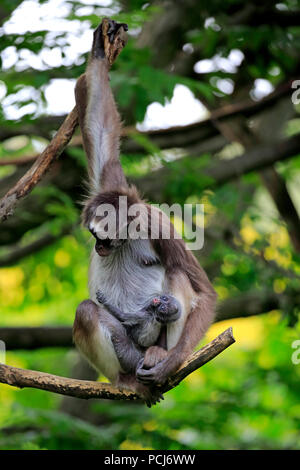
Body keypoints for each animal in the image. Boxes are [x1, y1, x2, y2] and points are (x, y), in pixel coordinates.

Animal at [73, 19, 217, 408]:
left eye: (106, 240)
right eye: (94, 237)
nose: (99, 249)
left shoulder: (157, 224)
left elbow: (205, 293)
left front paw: (171, 363)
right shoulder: (108, 187)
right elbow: (100, 129)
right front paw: (100, 50)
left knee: (179, 278)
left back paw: (158, 357)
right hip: (126, 352)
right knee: (87, 312)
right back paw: (127, 379)